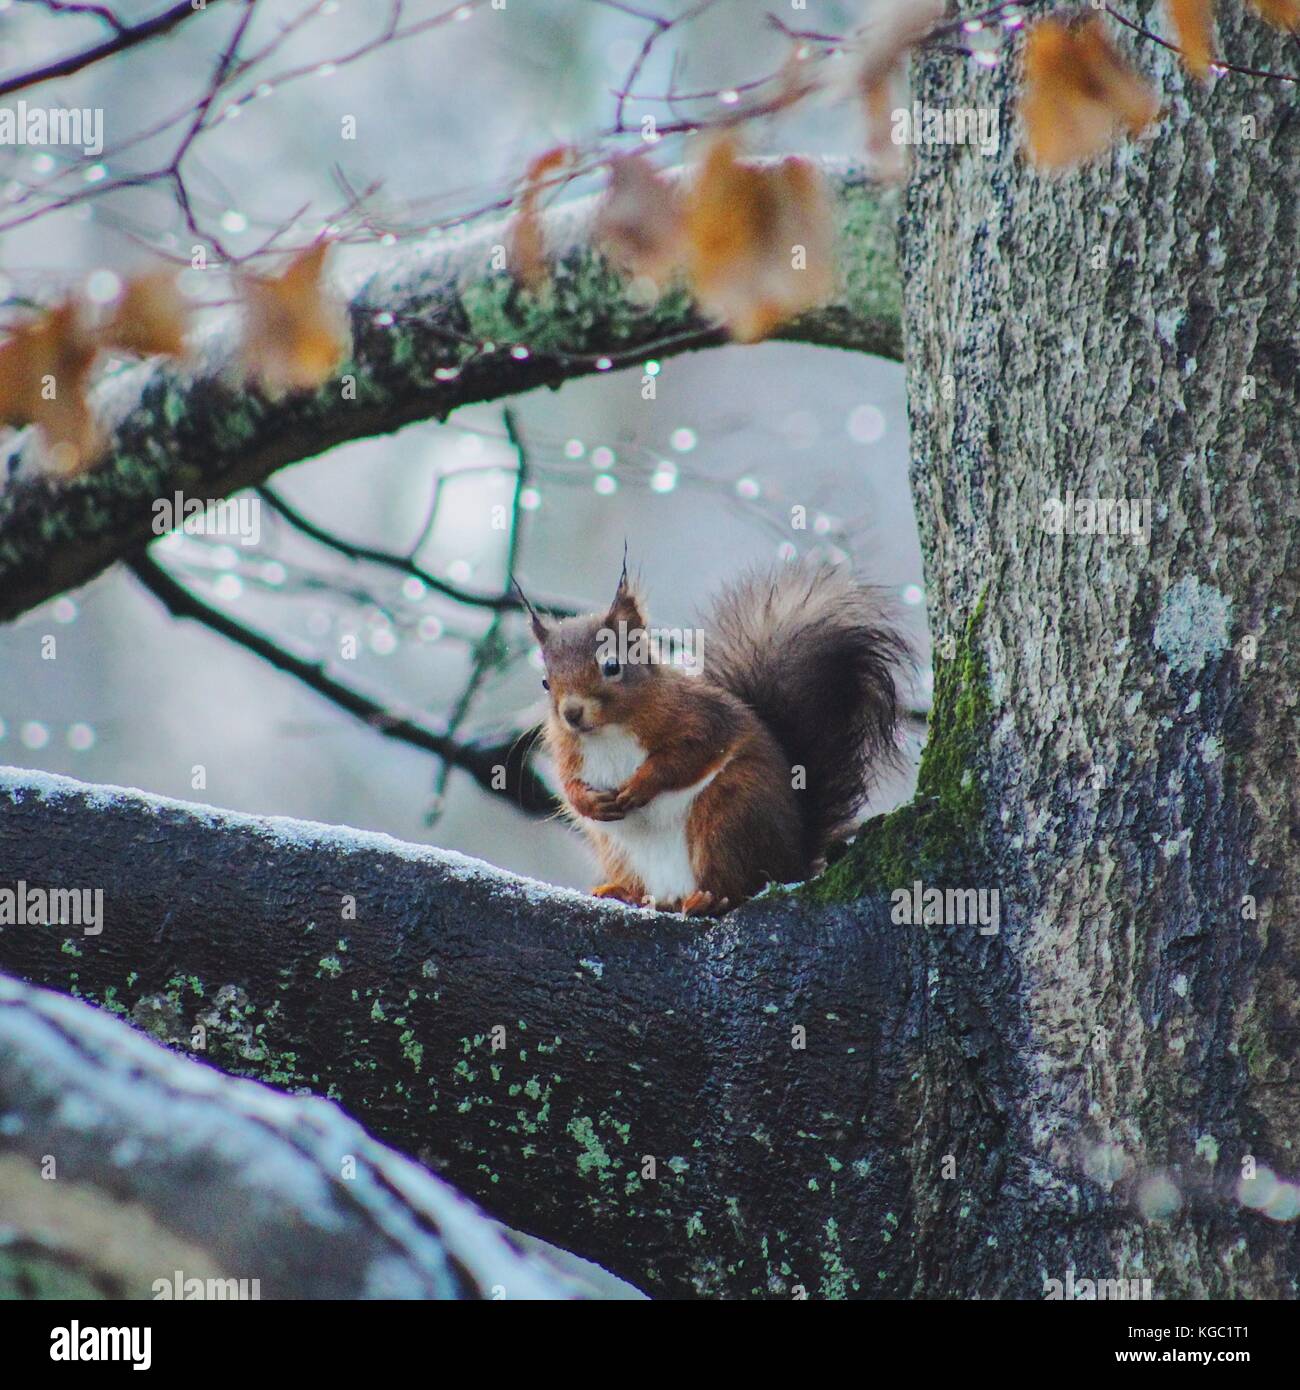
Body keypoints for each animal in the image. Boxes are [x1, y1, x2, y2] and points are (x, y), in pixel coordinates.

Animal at [522, 558, 912, 917]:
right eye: (545, 682)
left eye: (612, 666)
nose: (572, 713)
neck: (608, 731)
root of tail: (793, 861)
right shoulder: (569, 752)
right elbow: (569, 785)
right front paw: (589, 802)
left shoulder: (701, 720)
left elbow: (684, 758)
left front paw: (640, 785)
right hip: (618, 850)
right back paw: (624, 893)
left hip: (728, 816)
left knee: (740, 883)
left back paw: (711, 899)